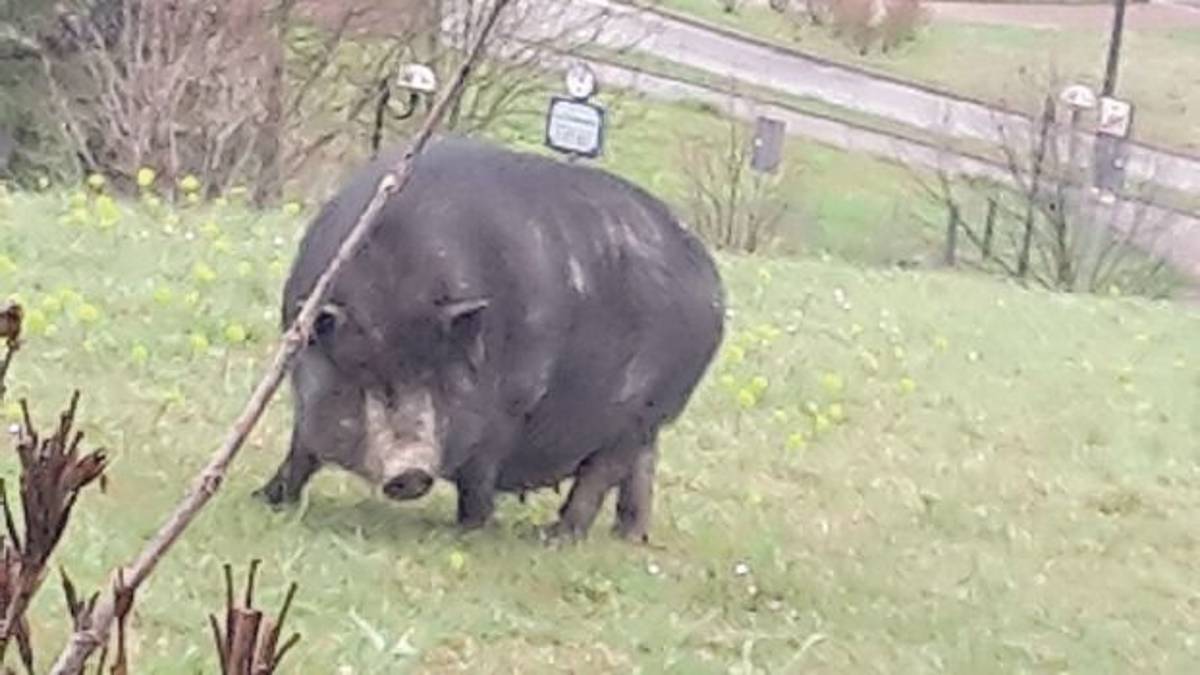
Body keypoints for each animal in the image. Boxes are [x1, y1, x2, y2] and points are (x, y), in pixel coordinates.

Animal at [253, 136, 725, 542]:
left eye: (439, 376)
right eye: (363, 374)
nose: (411, 471)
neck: (397, 284)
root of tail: (713, 283)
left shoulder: (508, 407)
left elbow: (478, 477)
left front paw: (465, 532)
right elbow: (301, 448)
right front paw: (265, 499)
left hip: (643, 413)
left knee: (600, 474)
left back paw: (556, 538)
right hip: (648, 425)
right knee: (640, 469)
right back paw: (628, 537)